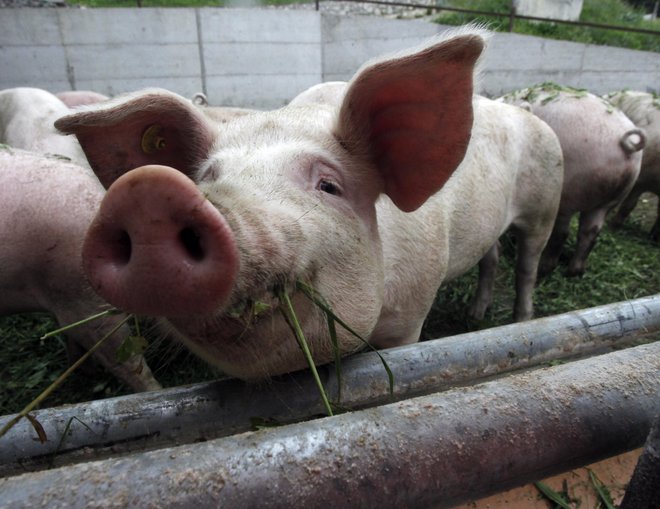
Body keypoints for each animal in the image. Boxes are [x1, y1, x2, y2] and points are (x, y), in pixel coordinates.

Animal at [55, 25, 564, 380]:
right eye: (206, 178)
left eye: (329, 186)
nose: (148, 191)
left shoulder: (410, 317)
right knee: (491, 256)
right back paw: (477, 315)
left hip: (546, 201)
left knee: (528, 263)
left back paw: (522, 320)